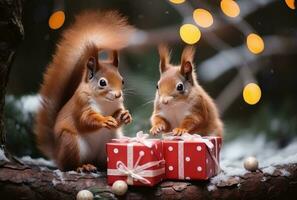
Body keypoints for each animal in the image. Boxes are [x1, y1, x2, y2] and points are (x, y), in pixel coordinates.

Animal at [33, 10, 134, 171]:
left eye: (122, 80)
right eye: (102, 82)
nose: (118, 94)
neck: (104, 101)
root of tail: (57, 155)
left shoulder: (117, 104)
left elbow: (118, 114)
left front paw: (125, 116)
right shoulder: (81, 104)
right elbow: (86, 119)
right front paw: (104, 120)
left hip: (111, 140)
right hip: (70, 142)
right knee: (69, 165)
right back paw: (83, 166)